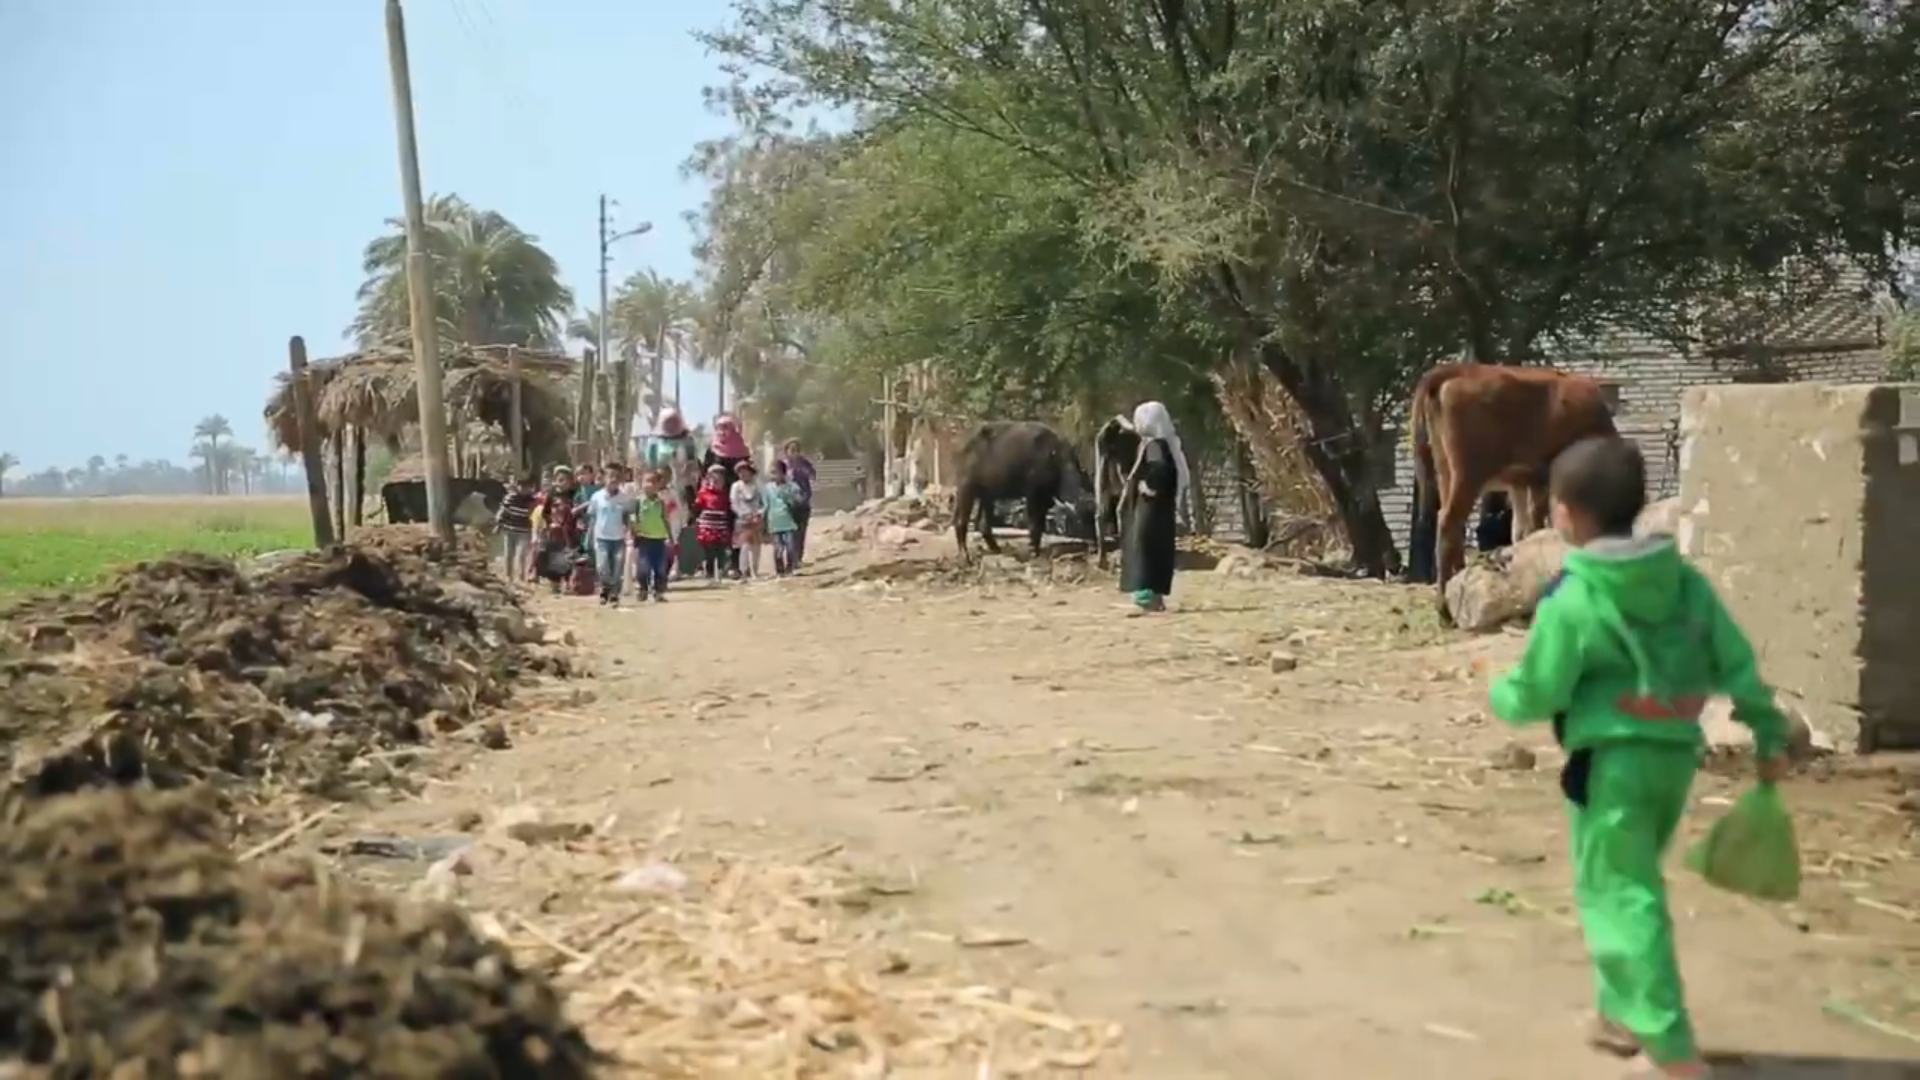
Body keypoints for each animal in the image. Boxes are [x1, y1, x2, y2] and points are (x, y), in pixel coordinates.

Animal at [952, 421, 1094, 562]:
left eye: (1079, 470)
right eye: (1067, 471)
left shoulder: (1045, 500)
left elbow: (1041, 525)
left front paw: (1036, 549)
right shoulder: (1032, 495)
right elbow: (1034, 524)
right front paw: (1033, 551)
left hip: (987, 495)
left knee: (983, 524)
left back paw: (996, 548)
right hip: (966, 488)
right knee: (961, 521)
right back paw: (965, 555)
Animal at [1409, 363, 1617, 617]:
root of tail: (1460, 368)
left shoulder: (1519, 483)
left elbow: (1519, 531)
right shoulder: (1540, 478)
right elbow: (1535, 526)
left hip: (1446, 473)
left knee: (1453, 524)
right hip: (1468, 474)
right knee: (1448, 522)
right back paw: (1444, 607)